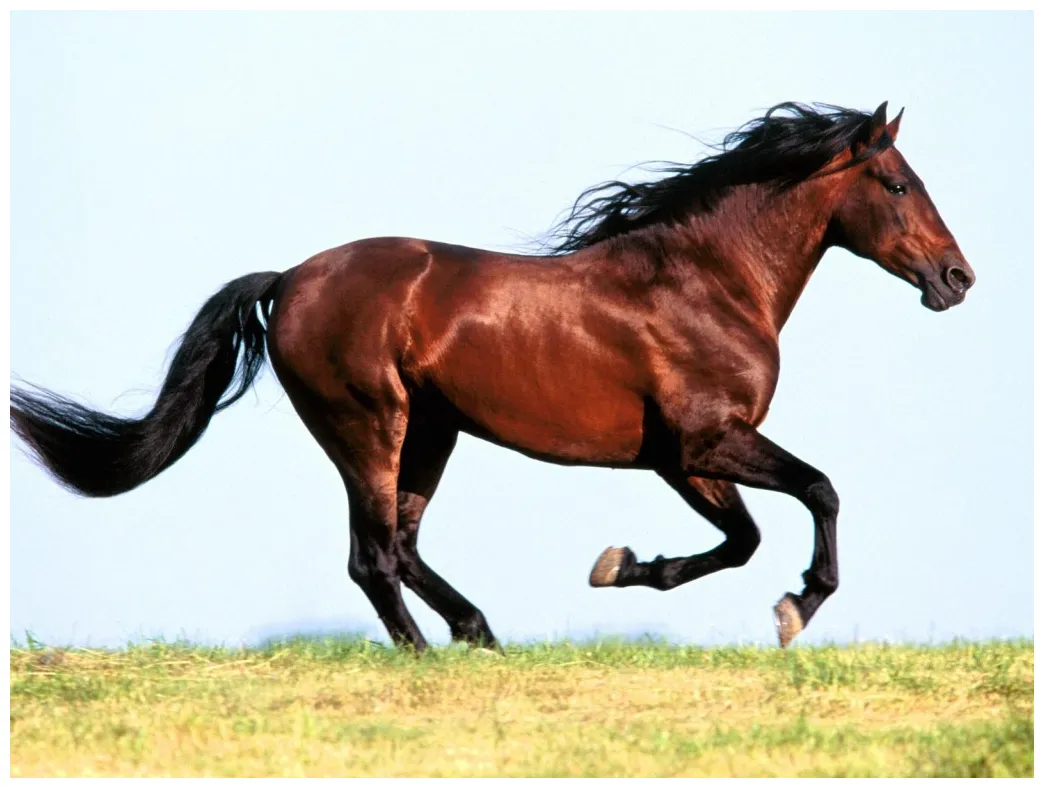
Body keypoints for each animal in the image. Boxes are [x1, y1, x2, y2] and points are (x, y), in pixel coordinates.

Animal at [11, 102, 975, 651]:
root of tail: (288, 281)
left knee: (399, 546)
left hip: (431, 432)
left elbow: (742, 539)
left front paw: (622, 567)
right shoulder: (708, 440)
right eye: (897, 183)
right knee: (372, 555)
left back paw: (477, 634)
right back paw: (433, 655)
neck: (706, 280)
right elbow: (817, 492)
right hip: (369, 425)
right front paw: (796, 608)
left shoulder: (680, 459)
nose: (957, 278)